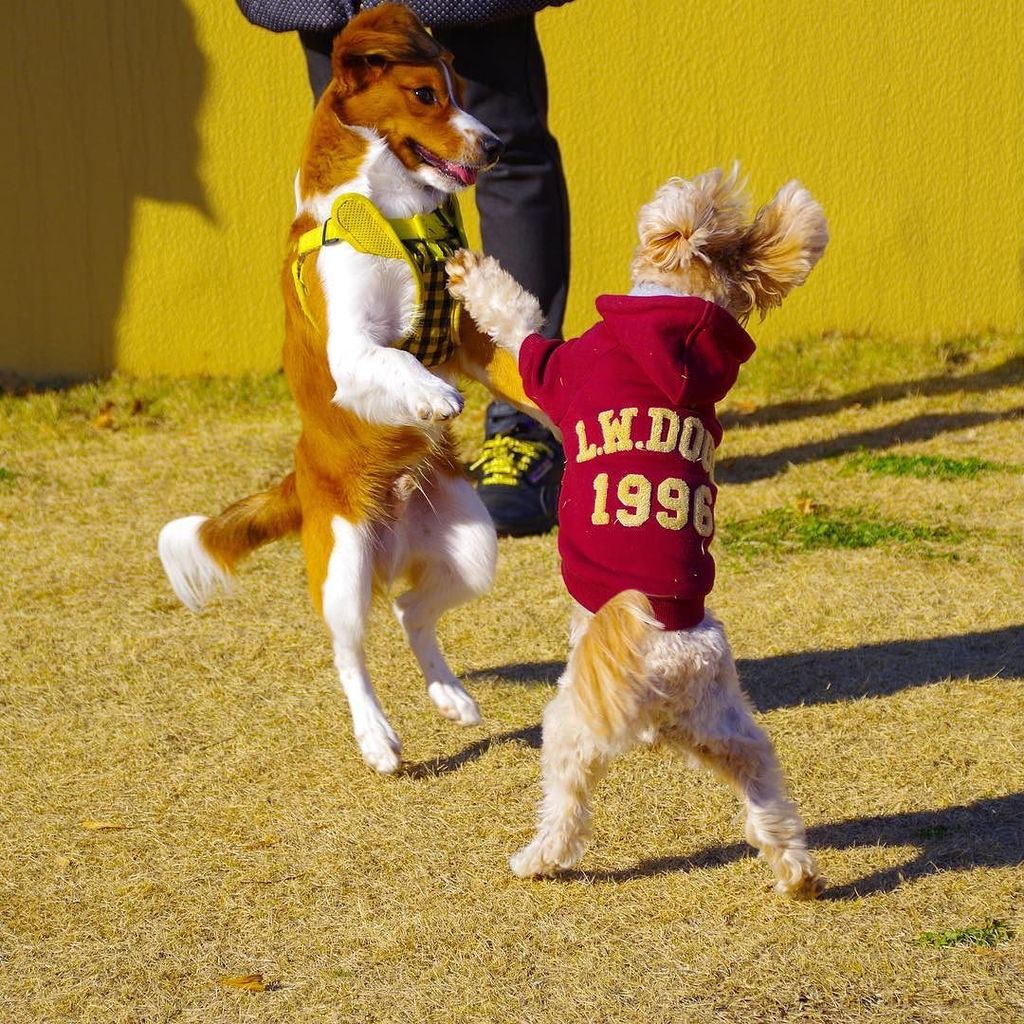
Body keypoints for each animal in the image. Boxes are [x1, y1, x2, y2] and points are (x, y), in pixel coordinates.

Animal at [157, 4, 536, 770]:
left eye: (460, 89)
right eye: (425, 94)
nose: (496, 146)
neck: (392, 211)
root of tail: (301, 476)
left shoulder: (466, 340)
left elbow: (510, 355)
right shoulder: (352, 349)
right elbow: (395, 362)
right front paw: (432, 397)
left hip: (473, 548)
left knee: (411, 609)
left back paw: (450, 695)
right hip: (344, 565)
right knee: (348, 650)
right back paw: (376, 737)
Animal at [444, 169, 827, 897]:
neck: (676, 318)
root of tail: (671, 652)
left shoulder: (550, 370)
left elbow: (516, 314)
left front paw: (471, 275)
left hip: (573, 722)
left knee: (566, 806)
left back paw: (537, 858)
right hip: (727, 727)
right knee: (767, 794)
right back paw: (795, 871)